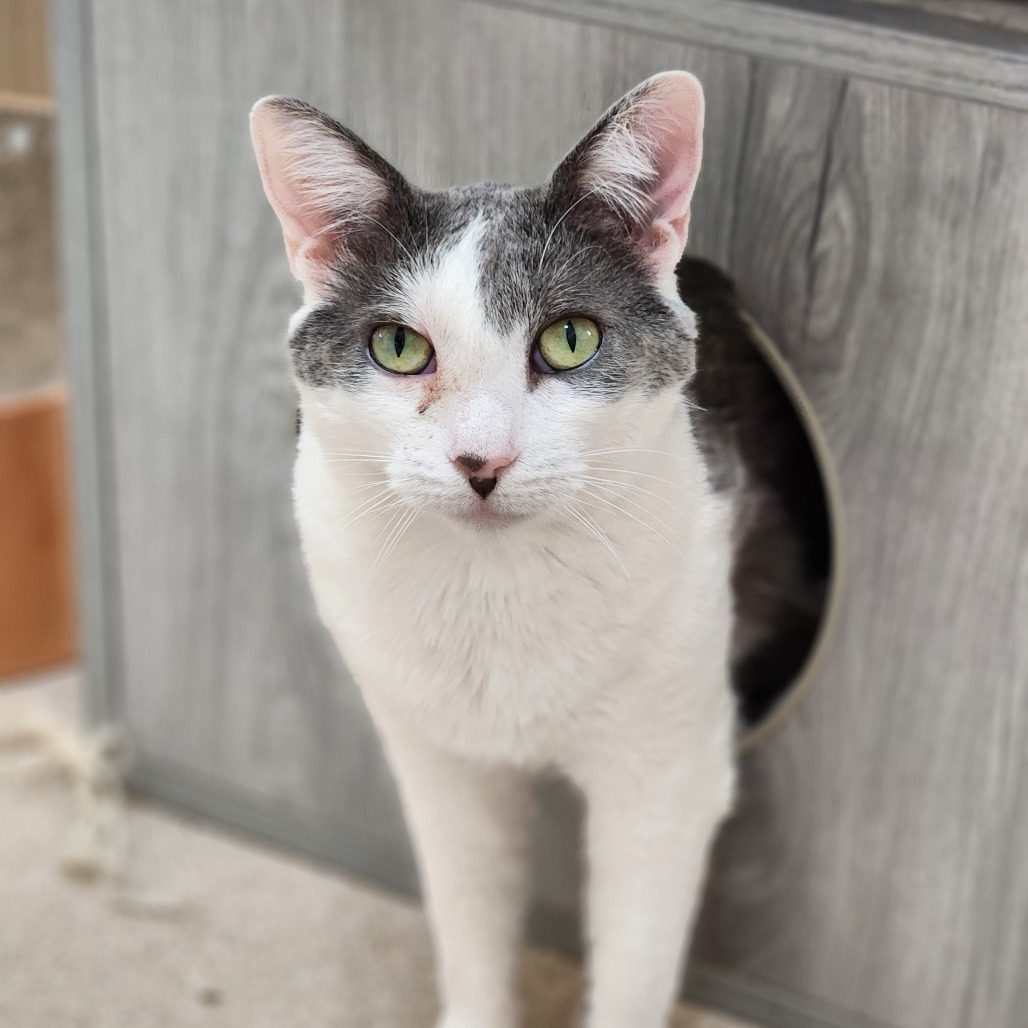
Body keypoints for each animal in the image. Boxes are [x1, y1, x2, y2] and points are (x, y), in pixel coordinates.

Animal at [250, 72, 826, 1028]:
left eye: (570, 338)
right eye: (398, 347)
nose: (482, 460)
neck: (496, 594)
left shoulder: (661, 781)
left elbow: (633, 967)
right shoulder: (442, 769)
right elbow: (471, 919)